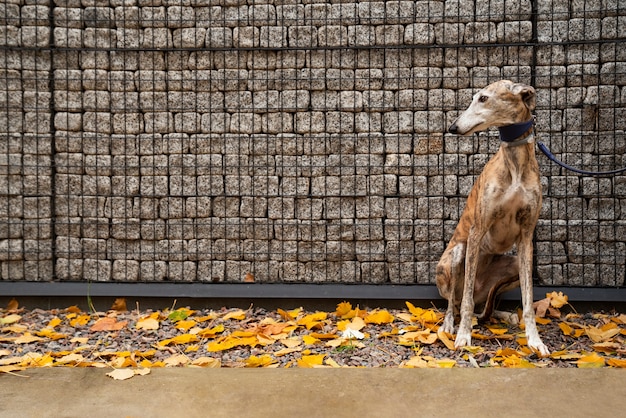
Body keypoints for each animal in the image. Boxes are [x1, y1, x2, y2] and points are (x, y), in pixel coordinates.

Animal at [434, 79, 544, 356]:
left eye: (483, 98)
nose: (453, 127)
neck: (515, 165)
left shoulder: (526, 237)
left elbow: (528, 301)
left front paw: (535, 340)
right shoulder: (477, 231)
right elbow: (464, 304)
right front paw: (463, 336)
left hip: (512, 266)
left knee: (485, 303)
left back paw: (504, 315)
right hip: (456, 255)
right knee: (457, 302)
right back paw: (449, 326)